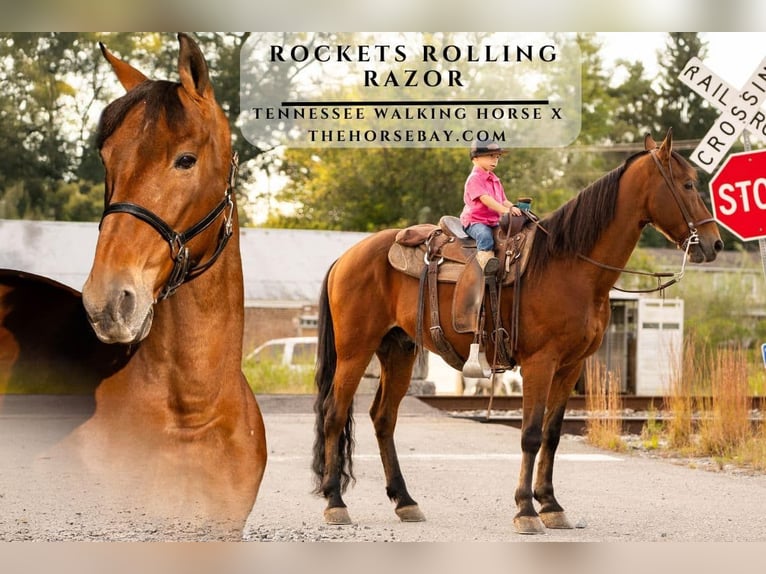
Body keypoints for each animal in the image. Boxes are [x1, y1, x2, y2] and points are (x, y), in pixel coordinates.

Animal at [312, 130, 723, 534]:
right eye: (688, 184)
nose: (714, 243)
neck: (570, 265)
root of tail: (346, 257)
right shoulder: (540, 363)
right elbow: (530, 434)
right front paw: (526, 510)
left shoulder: (570, 366)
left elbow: (552, 435)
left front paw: (551, 505)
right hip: (355, 351)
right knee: (334, 414)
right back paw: (335, 502)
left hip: (398, 350)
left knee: (384, 418)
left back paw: (405, 501)